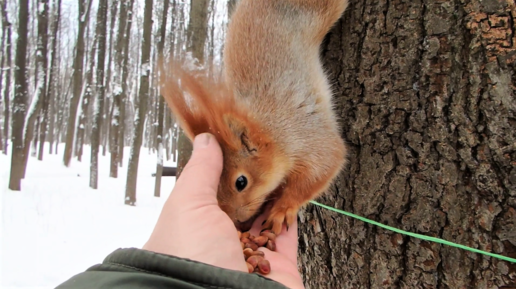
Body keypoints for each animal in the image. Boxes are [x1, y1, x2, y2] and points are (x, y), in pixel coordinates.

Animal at [161, 0, 346, 234]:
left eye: (241, 182)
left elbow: (324, 167)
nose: (236, 221)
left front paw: (282, 209)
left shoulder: (306, 137)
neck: (272, 131)